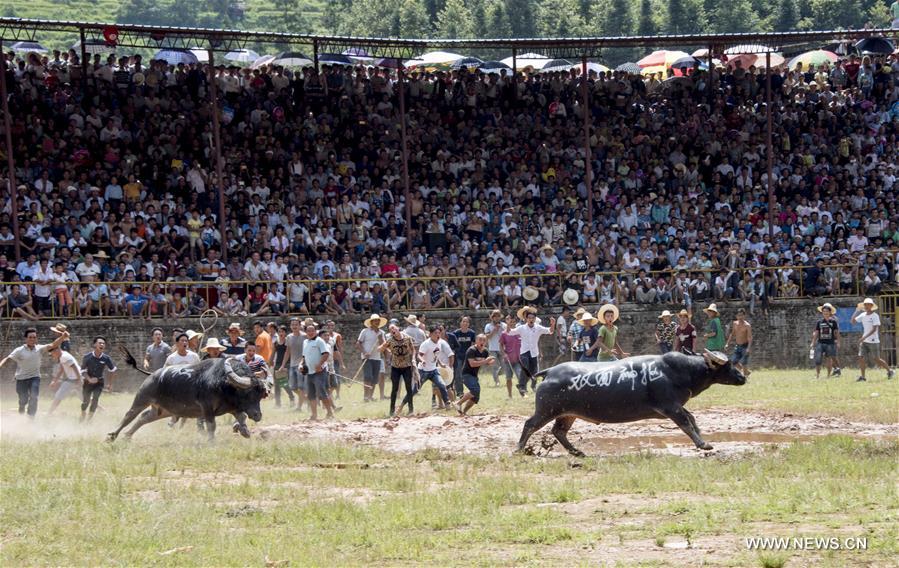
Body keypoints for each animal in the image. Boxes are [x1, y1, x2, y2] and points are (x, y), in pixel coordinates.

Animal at [108, 350, 268, 444]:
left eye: (260, 396)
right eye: (247, 393)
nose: (258, 415)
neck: (224, 383)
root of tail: (153, 374)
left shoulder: (233, 407)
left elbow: (242, 417)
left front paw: (245, 432)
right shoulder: (207, 408)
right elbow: (211, 425)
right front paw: (211, 441)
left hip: (162, 410)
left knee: (144, 417)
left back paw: (127, 436)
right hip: (143, 397)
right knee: (130, 415)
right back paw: (112, 435)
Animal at [516, 350, 748, 458]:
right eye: (727, 365)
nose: (742, 377)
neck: (677, 371)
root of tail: (549, 372)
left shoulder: (675, 407)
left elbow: (692, 419)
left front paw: (703, 440)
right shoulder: (670, 407)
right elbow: (685, 423)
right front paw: (702, 444)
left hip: (567, 414)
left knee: (558, 431)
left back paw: (577, 452)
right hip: (547, 411)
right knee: (530, 424)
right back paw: (518, 449)